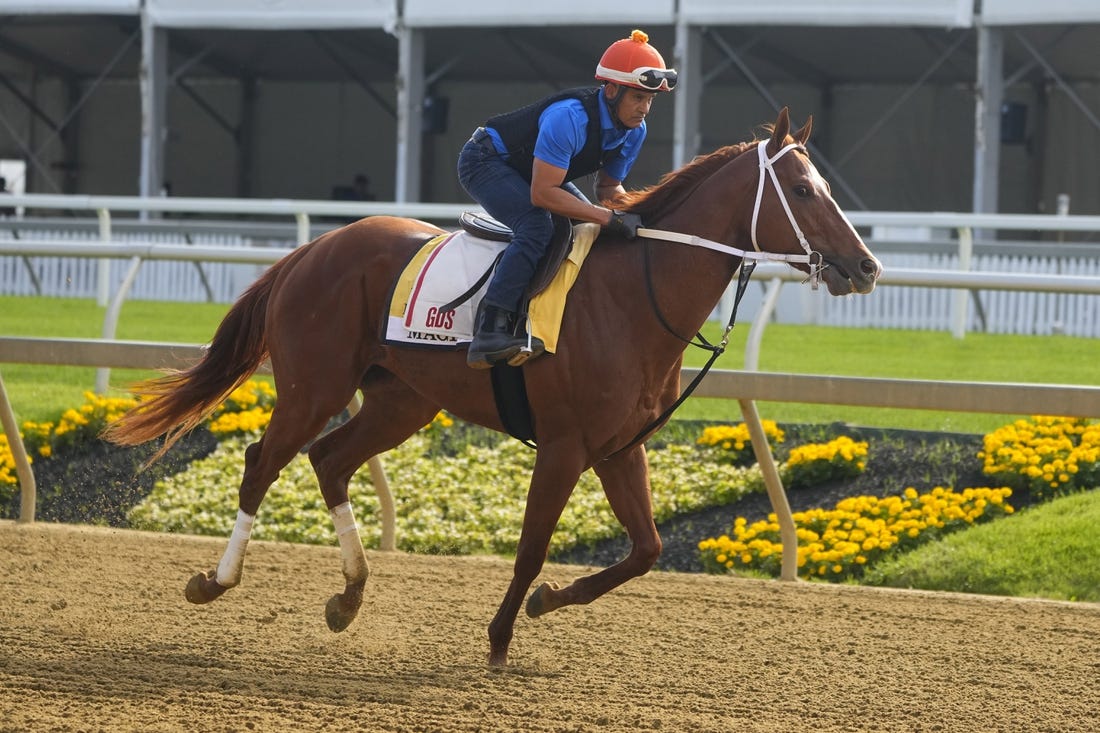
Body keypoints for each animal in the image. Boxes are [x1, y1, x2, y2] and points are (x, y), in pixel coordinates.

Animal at [103, 107, 875, 660]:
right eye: (803, 190)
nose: (865, 266)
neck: (635, 294)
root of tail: (313, 248)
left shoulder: (620, 446)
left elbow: (647, 550)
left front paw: (547, 602)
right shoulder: (564, 446)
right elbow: (533, 545)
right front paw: (502, 636)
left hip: (401, 400)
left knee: (329, 460)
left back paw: (349, 597)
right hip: (313, 385)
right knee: (263, 462)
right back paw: (216, 580)